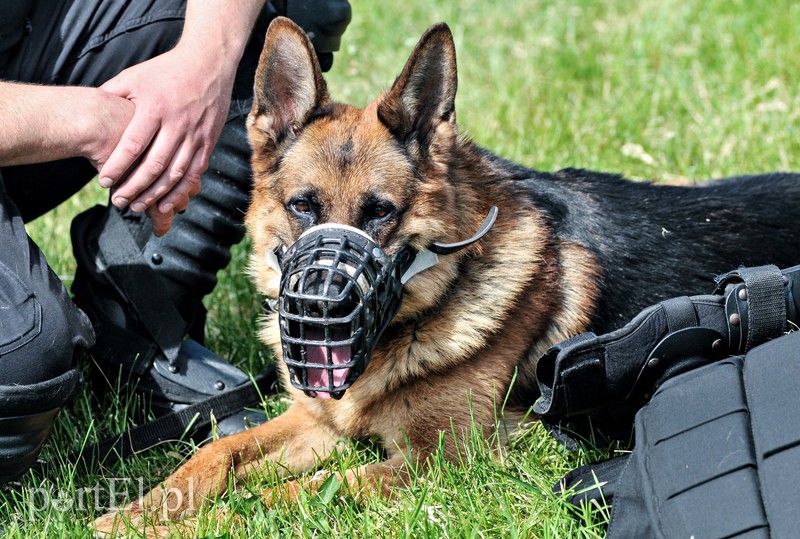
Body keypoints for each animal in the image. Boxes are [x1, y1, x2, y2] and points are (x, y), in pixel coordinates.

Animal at [95, 16, 800, 536]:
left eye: (381, 212)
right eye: (302, 207)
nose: (318, 308)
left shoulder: (432, 461)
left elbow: (278, 499)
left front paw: (180, 527)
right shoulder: (319, 423)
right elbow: (216, 452)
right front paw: (137, 512)